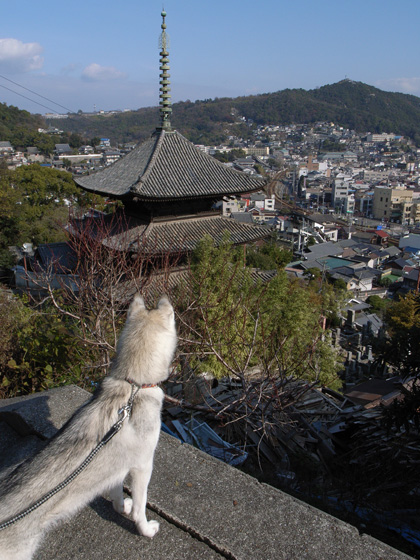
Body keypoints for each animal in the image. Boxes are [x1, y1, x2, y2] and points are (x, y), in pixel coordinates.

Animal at [0, 296, 177, 556]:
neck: (133, 384)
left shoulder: (117, 465)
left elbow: (116, 491)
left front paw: (120, 506)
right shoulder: (143, 466)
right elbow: (140, 508)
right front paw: (145, 528)